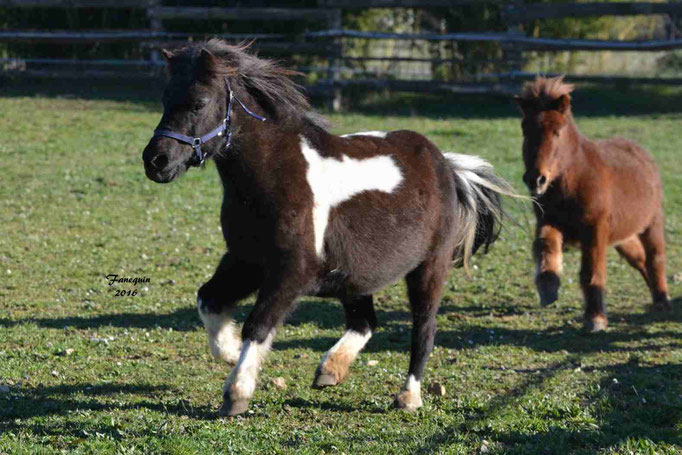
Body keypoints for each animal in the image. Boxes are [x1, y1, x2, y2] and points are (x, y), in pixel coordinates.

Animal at [141, 40, 510, 416]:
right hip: (356, 275)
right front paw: (230, 352)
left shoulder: (291, 272)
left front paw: (237, 392)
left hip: (429, 267)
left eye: (199, 102)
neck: (271, 177)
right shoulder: (246, 261)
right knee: (365, 322)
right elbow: (208, 300)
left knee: (424, 327)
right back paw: (330, 369)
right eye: (165, 98)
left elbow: (258, 324)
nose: (155, 161)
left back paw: (408, 397)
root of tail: (445, 164)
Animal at [516, 75, 668, 332]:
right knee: (639, 260)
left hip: (651, 224)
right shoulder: (549, 221)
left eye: (557, 132)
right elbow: (545, 245)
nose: (535, 179)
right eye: (525, 130)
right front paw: (548, 288)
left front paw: (594, 318)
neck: (575, 178)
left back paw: (662, 301)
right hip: (622, 236)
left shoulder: (594, 230)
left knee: (655, 258)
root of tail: (642, 153)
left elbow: (592, 272)